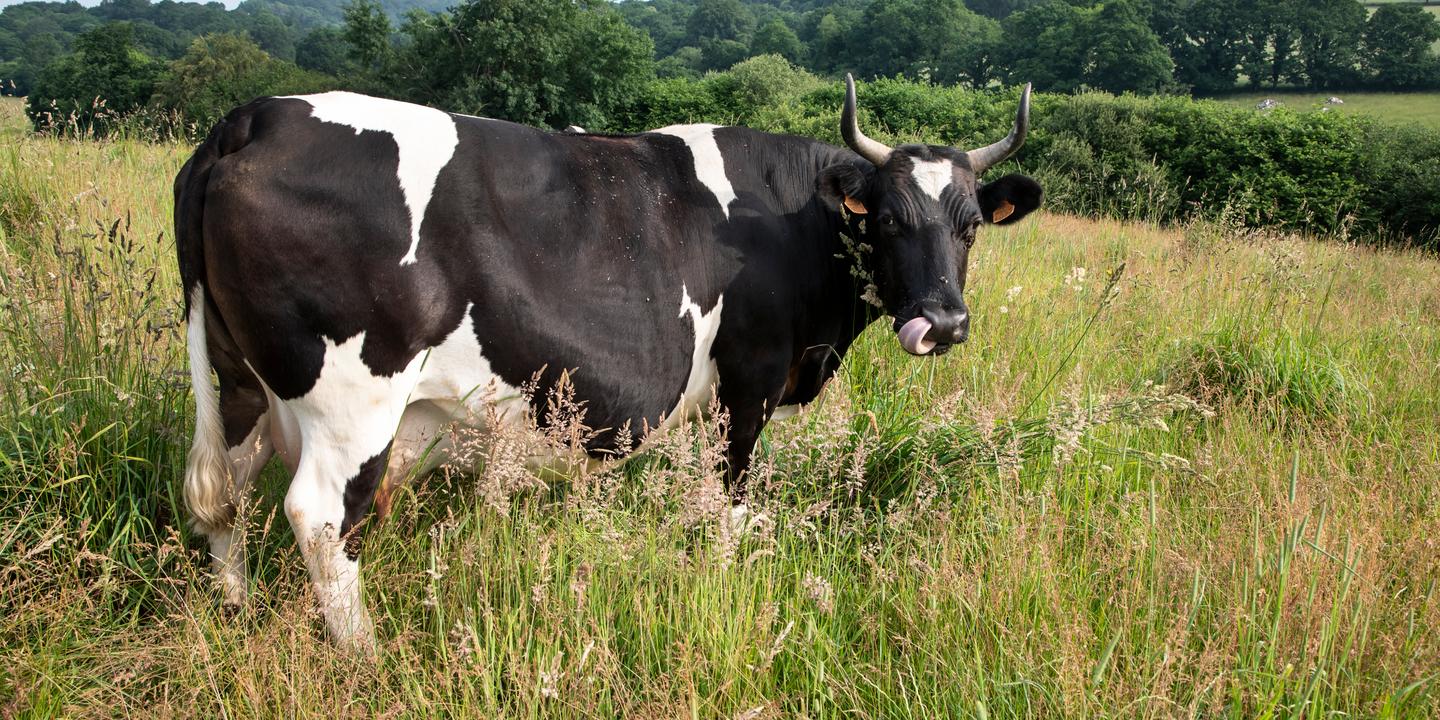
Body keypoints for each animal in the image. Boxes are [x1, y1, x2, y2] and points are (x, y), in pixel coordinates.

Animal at [175, 76, 1041, 650]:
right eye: (887, 220)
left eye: (970, 225)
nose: (943, 323)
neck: (792, 218)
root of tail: (254, 116)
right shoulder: (751, 382)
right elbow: (730, 501)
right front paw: (725, 578)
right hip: (354, 401)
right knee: (320, 517)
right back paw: (367, 655)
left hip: (240, 376)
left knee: (225, 490)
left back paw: (234, 609)